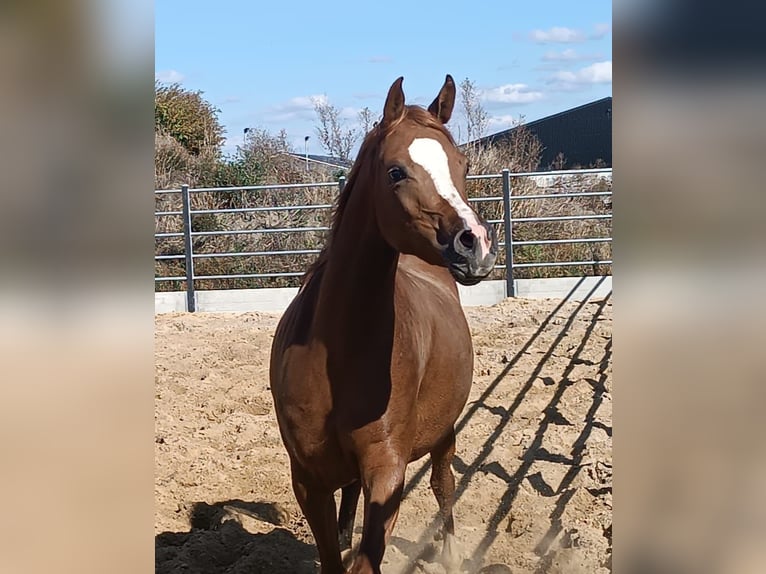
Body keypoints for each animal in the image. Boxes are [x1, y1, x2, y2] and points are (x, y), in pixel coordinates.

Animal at [269, 74, 498, 574]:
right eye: (396, 172)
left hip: (444, 431)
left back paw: (449, 553)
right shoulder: (308, 480)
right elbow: (333, 556)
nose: (475, 244)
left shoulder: (388, 470)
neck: (336, 351)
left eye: (462, 164)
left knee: (443, 484)